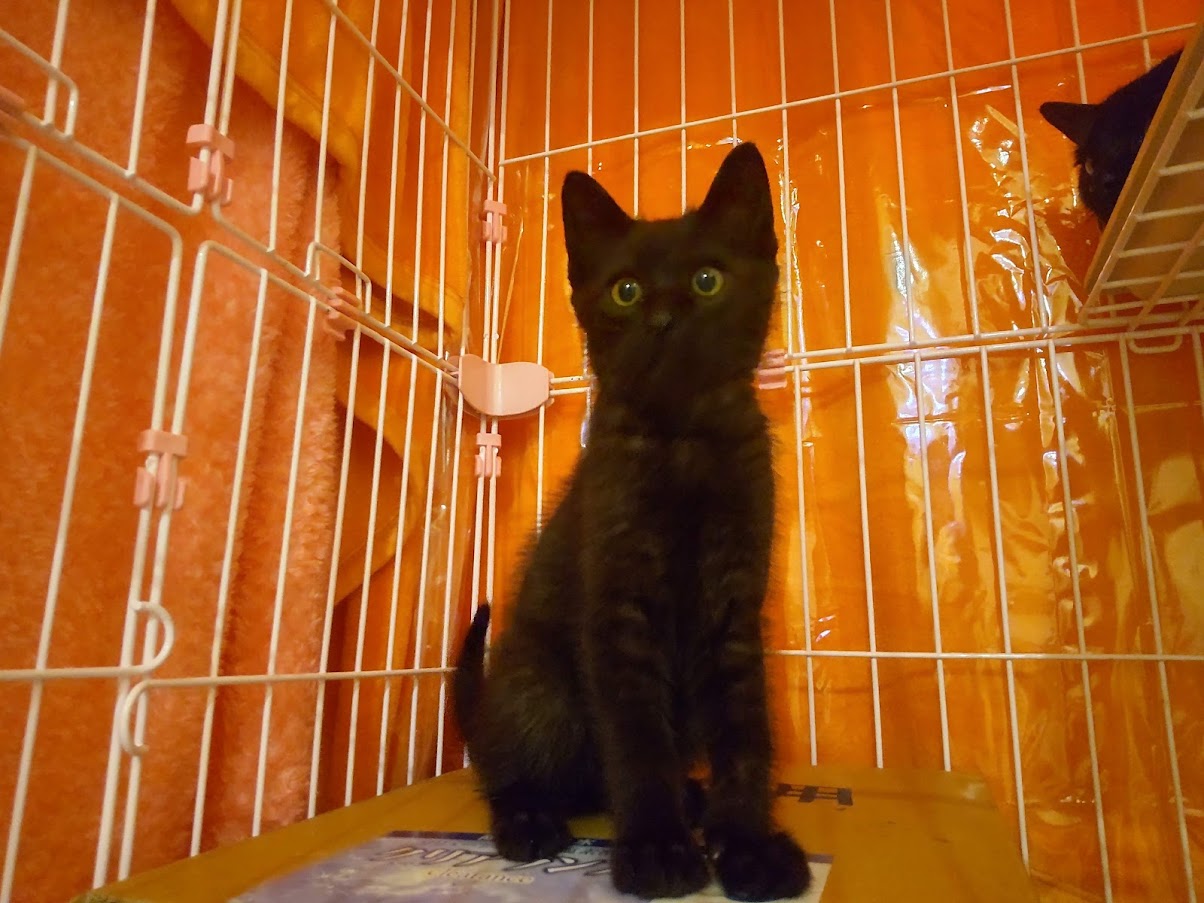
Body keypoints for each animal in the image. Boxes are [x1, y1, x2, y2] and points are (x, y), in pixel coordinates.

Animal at [453, 142, 810, 902]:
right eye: (625, 290)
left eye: (707, 279)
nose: (664, 317)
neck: (684, 441)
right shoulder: (619, 610)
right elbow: (638, 737)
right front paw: (656, 848)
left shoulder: (734, 609)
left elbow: (746, 734)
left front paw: (747, 844)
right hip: (541, 689)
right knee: (510, 768)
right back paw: (529, 819)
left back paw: (693, 799)